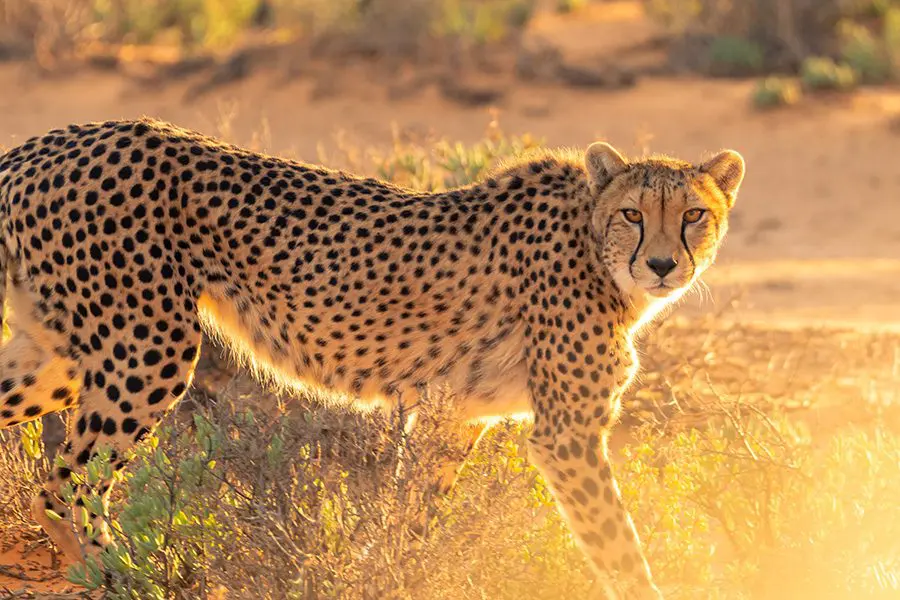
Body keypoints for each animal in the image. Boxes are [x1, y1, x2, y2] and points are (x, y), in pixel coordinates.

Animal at [0, 119, 744, 596]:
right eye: (632, 213)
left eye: (694, 215)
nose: (663, 265)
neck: (594, 245)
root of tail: (45, 142)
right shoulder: (566, 436)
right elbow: (619, 547)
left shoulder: (453, 417)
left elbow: (410, 519)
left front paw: (387, 574)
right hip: (146, 347)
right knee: (70, 481)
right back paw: (121, 576)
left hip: (59, 354)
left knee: (47, 470)